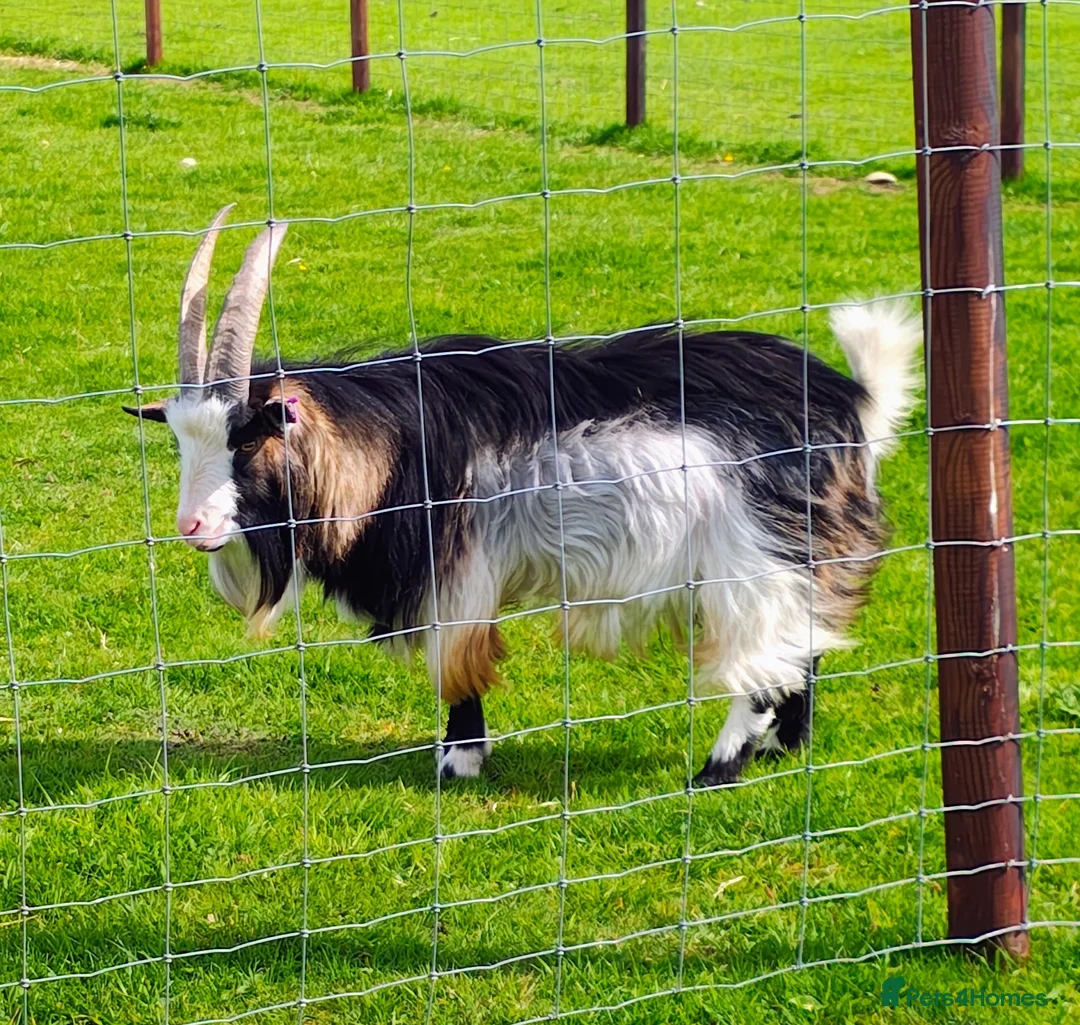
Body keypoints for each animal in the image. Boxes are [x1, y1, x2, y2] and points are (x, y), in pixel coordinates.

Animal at [124, 206, 920, 786]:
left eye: (244, 441)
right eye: (182, 442)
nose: (191, 524)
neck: (390, 443)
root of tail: (854, 404)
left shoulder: (457, 572)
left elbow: (456, 664)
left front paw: (459, 762)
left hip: (754, 556)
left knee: (762, 659)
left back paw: (720, 767)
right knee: (801, 644)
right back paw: (788, 746)